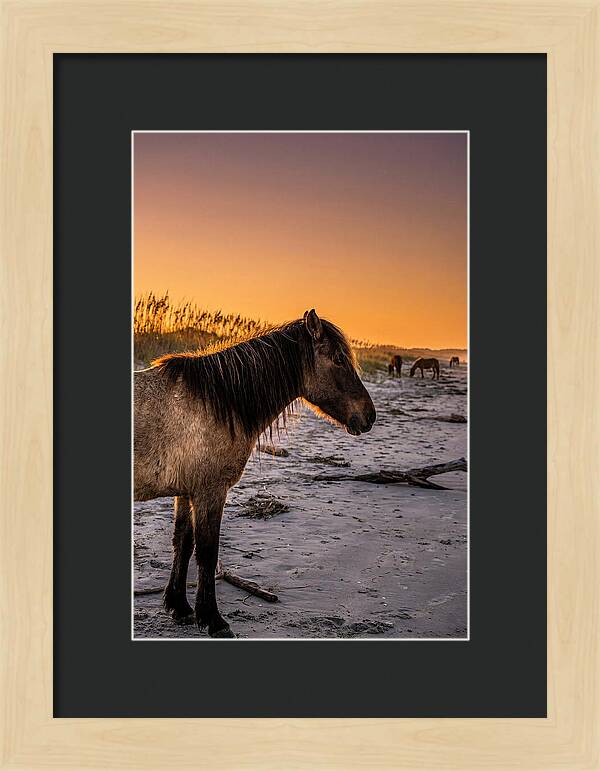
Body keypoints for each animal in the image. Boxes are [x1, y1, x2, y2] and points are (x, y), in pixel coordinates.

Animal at [134, 309, 376, 637]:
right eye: (339, 359)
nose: (369, 416)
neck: (217, 402)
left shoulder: (186, 492)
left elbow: (183, 542)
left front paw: (179, 607)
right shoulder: (210, 492)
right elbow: (207, 552)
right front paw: (213, 619)